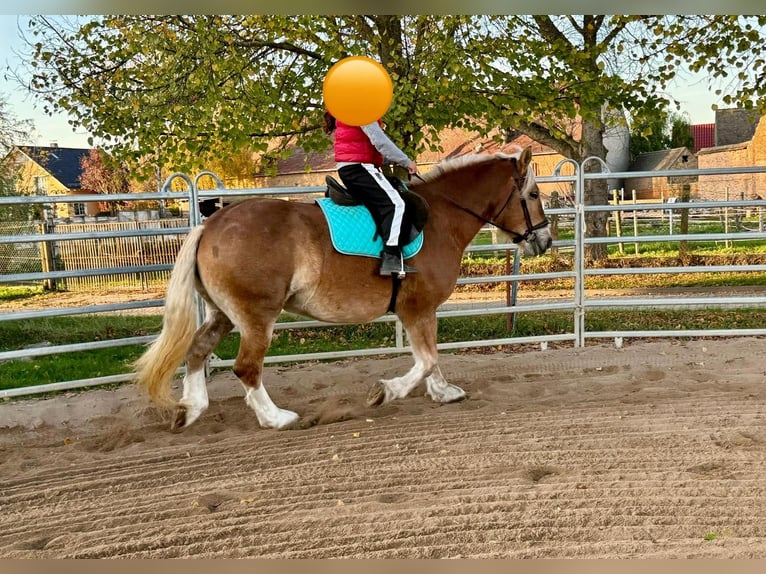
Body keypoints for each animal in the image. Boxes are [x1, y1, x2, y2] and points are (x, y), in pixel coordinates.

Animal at [134, 147, 552, 432]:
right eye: (533, 195)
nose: (545, 241)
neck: (440, 218)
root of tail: (211, 224)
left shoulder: (422, 311)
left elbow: (431, 358)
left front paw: (443, 392)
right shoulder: (417, 308)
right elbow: (427, 359)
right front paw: (386, 392)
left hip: (223, 313)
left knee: (198, 349)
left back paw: (191, 409)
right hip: (256, 316)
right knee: (246, 367)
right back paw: (276, 417)